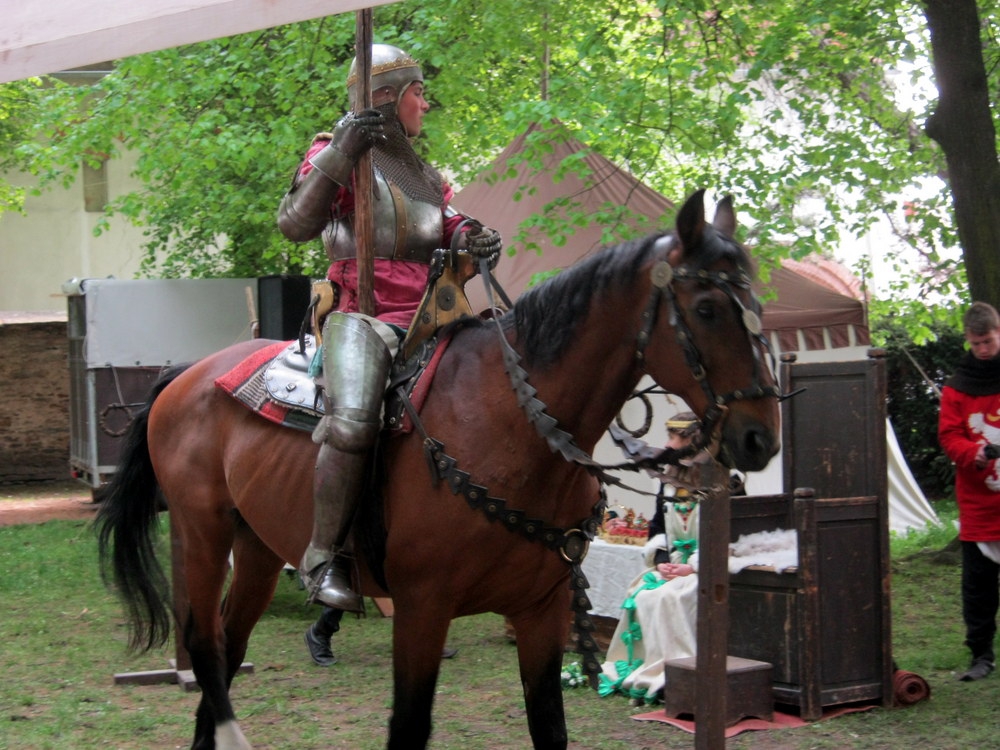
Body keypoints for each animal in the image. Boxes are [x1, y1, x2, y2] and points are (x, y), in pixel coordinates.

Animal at [95, 189, 780, 750]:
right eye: (709, 307)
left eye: (757, 303)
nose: (759, 437)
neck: (513, 426)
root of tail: (186, 374)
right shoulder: (424, 608)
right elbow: (408, 727)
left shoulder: (542, 610)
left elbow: (549, 728)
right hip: (202, 531)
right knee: (206, 649)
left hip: (258, 546)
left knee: (230, 646)